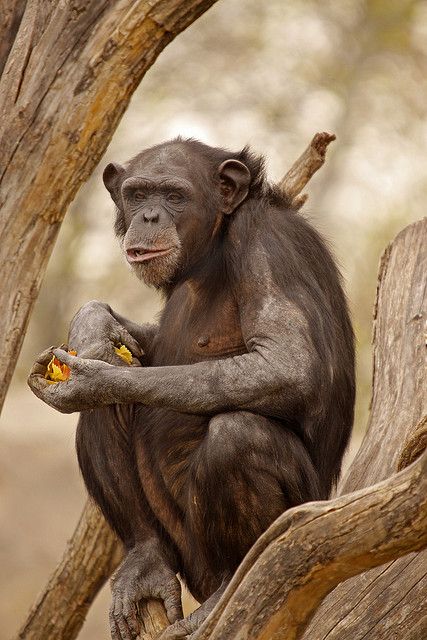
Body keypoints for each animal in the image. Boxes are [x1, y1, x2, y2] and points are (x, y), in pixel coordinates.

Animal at [28, 139, 356, 640]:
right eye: (137, 194)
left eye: (175, 195)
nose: (149, 217)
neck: (211, 250)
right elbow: (142, 347)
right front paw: (93, 323)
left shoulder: (270, 246)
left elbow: (290, 364)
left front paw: (98, 378)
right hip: (179, 548)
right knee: (112, 417)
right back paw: (144, 561)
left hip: (292, 531)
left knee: (238, 436)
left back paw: (228, 589)